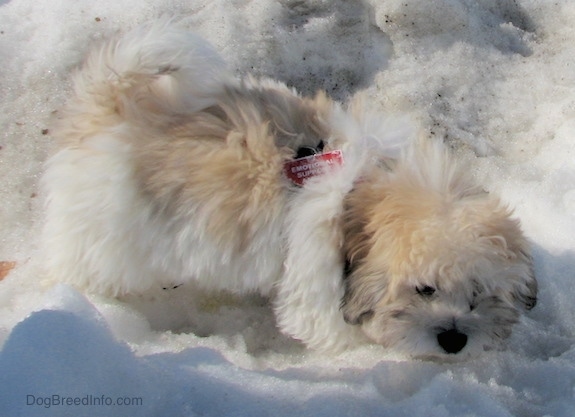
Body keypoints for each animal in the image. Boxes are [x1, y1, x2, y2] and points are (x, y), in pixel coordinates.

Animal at [42, 21, 536, 356]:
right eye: (424, 289)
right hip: (107, 232)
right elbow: (325, 325)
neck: (358, 201)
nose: (453, 338)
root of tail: (108, 103)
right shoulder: (316, 276)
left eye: (479, 293)